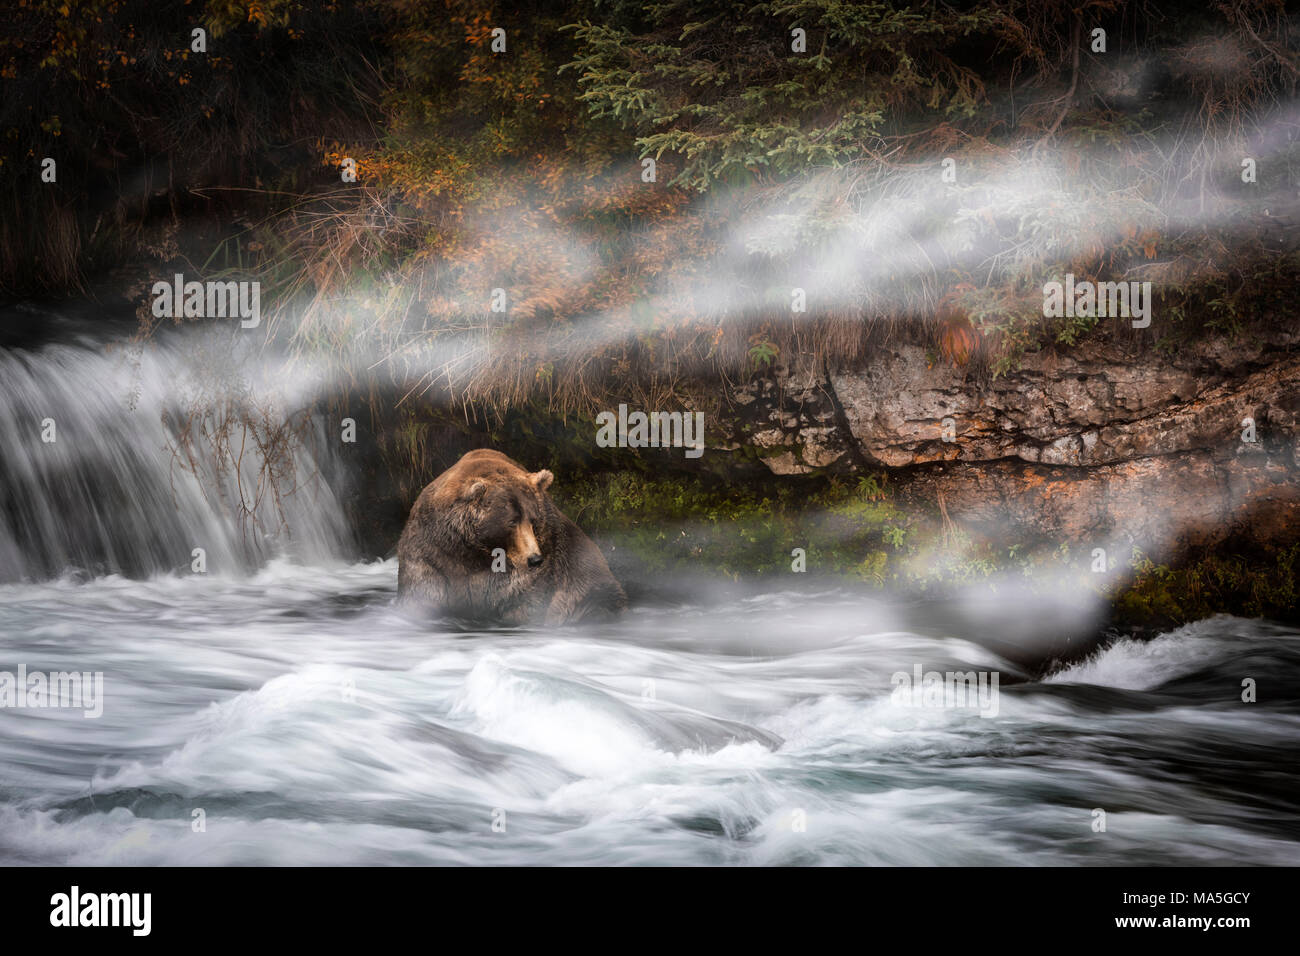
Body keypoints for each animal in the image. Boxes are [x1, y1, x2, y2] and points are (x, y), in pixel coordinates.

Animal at [392, 450, 626, 629]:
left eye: (533, 519)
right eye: (512, 521)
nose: (535, 559)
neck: (473, 555)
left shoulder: (533, 576)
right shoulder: (431, 554)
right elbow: (423, 594)